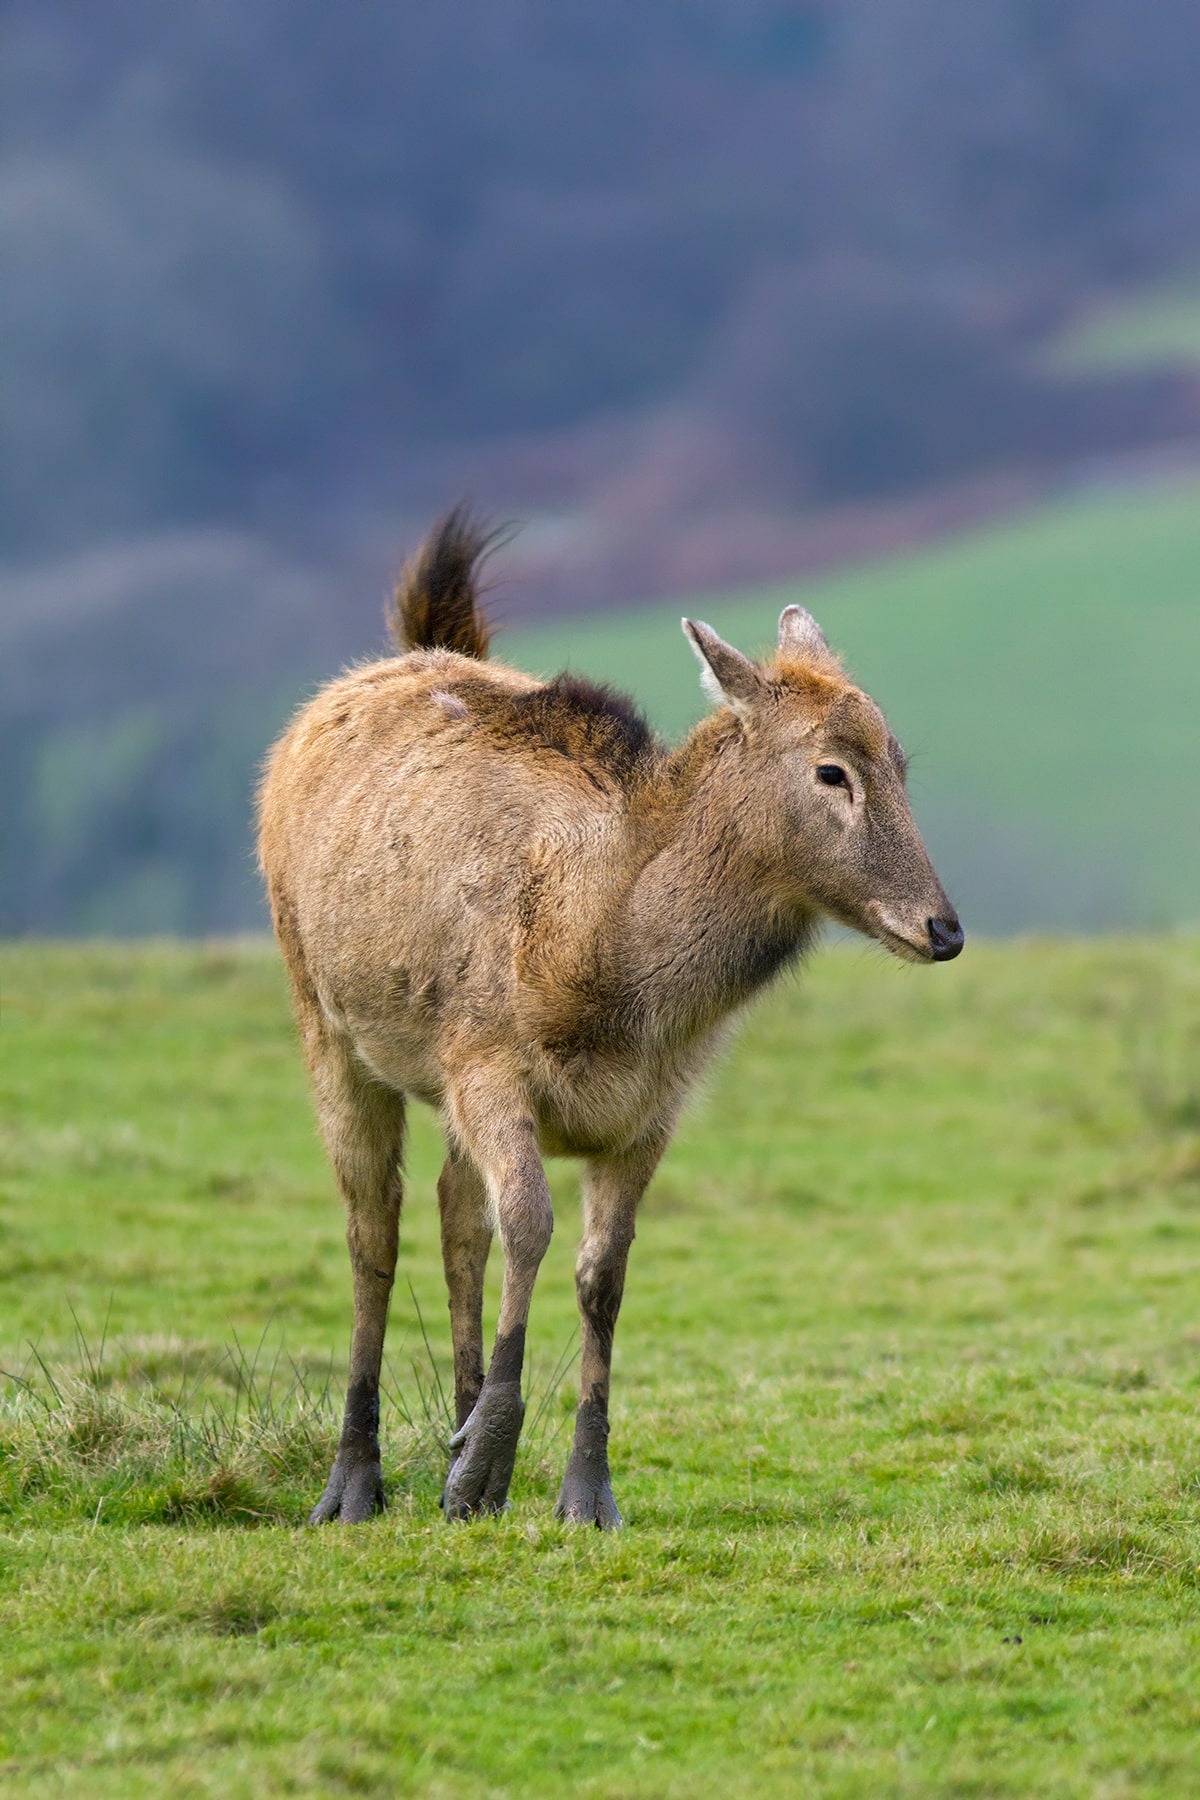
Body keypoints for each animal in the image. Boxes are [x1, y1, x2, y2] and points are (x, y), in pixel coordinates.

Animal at [257, 507, 963, 1529]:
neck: (604, 979)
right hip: (322, 1014)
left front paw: (579, 1491)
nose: (944, 928)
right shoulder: (486, 1061)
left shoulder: (651, 1110)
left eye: (903, 762)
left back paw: (457, 1438)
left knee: (454, 1215)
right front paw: (485, 1458)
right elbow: (531, 1224)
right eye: (832, 772)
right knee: (373, 1226)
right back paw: (354, 1483)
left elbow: (604, 1273)